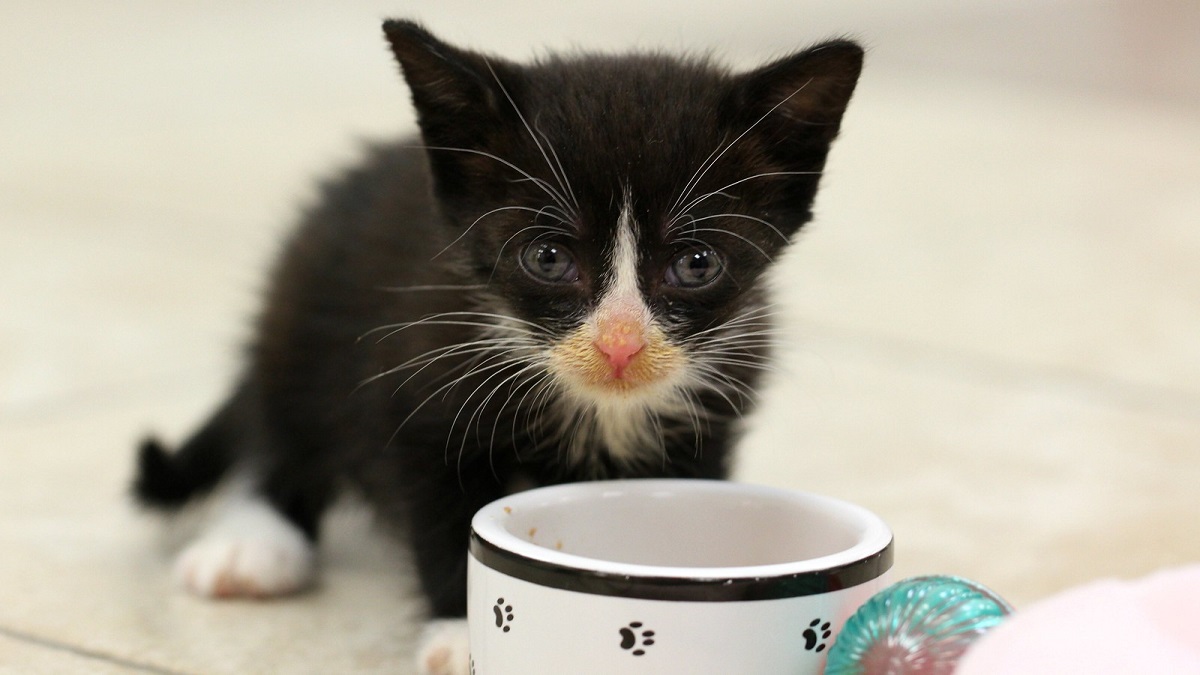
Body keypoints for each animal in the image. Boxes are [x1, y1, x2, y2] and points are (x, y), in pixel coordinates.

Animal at [131, 19, 864, 672]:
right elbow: (442, 515)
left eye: (697, 263)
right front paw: (465, 633)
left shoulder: (711, 410)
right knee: (282, 430)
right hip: (298, 309)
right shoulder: (417, 387)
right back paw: (253, 545)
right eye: (548, 257)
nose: (620, 347)